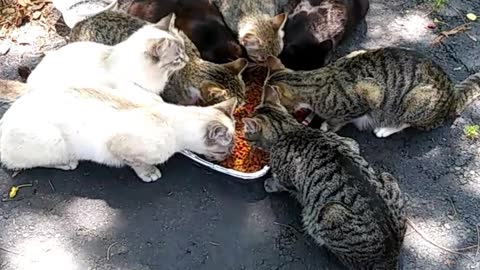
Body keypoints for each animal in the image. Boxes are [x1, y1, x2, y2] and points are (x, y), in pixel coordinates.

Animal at [0, 83, 238, 182]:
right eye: (225, 149)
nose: (229, 155)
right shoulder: (118, 146)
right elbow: (138, 164)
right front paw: (150, 174)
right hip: (54, 141)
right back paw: (68, 163)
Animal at [244, 85, 404, 268]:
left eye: (246, 132)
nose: (242, 136)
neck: (289, 130)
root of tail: (391, 257)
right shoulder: (350, 143)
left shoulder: (288, 177)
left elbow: (281, 183)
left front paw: (270, 184)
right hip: (387, 176)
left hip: (330, 212)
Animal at [264, 46, 480, 138]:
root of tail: (451, 94)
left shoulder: (371, 93)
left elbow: (340, 119)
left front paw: (327, 125)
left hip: (417, 98)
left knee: (407, 121)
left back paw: (387, 128)